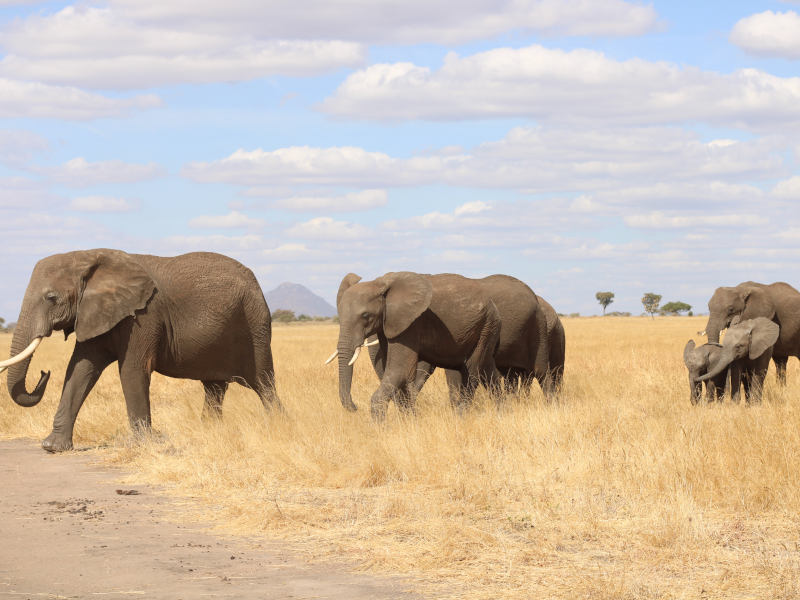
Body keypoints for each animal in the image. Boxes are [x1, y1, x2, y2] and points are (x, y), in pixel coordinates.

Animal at [0, 246, 282, 452]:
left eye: (51, 298)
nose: (43, 373)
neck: (88, 256)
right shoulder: (96, 312)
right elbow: (80, 370)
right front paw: (52, 447)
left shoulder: (144, 316)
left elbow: (132, 370)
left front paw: (142, 444)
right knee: (215, 388)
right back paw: (209, 433)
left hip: (255, 324)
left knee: (264, 384)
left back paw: (277, 429)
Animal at [326, 274, 500, 422]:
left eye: (365, 316)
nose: (355, 407)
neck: (380, 283)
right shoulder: (390, 324)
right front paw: (409, 421)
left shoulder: (410, 325)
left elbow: (399, 370)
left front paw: (381, 427)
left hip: (486, 325)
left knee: (472, 370)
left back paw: (460, 416)